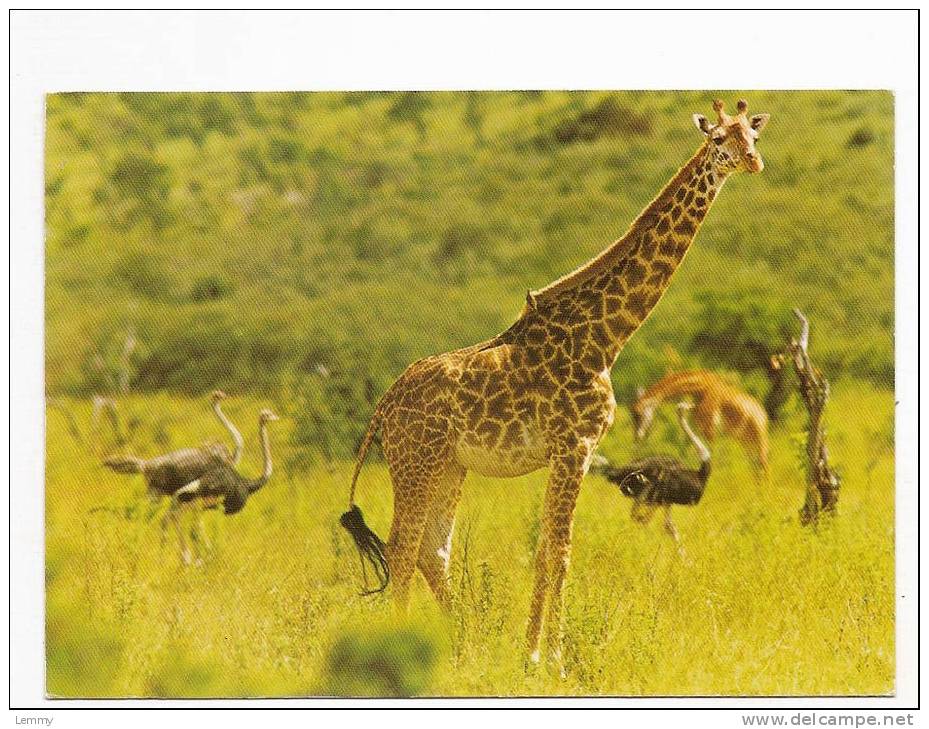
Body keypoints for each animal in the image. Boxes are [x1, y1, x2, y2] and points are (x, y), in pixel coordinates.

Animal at [340, 99, 768, 668]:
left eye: (753, 137)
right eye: (719, 139)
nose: (752, 163)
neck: (606, 335)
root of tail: (383, 407)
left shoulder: (567, 451)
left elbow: (544, 551)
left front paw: (532, 654)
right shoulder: (575, 445)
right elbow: (560, 552)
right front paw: (556, 659)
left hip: (450, 465)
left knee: (433, 549)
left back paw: (465, 646)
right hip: (416, 461)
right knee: (403, 546)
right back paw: (411, 645)